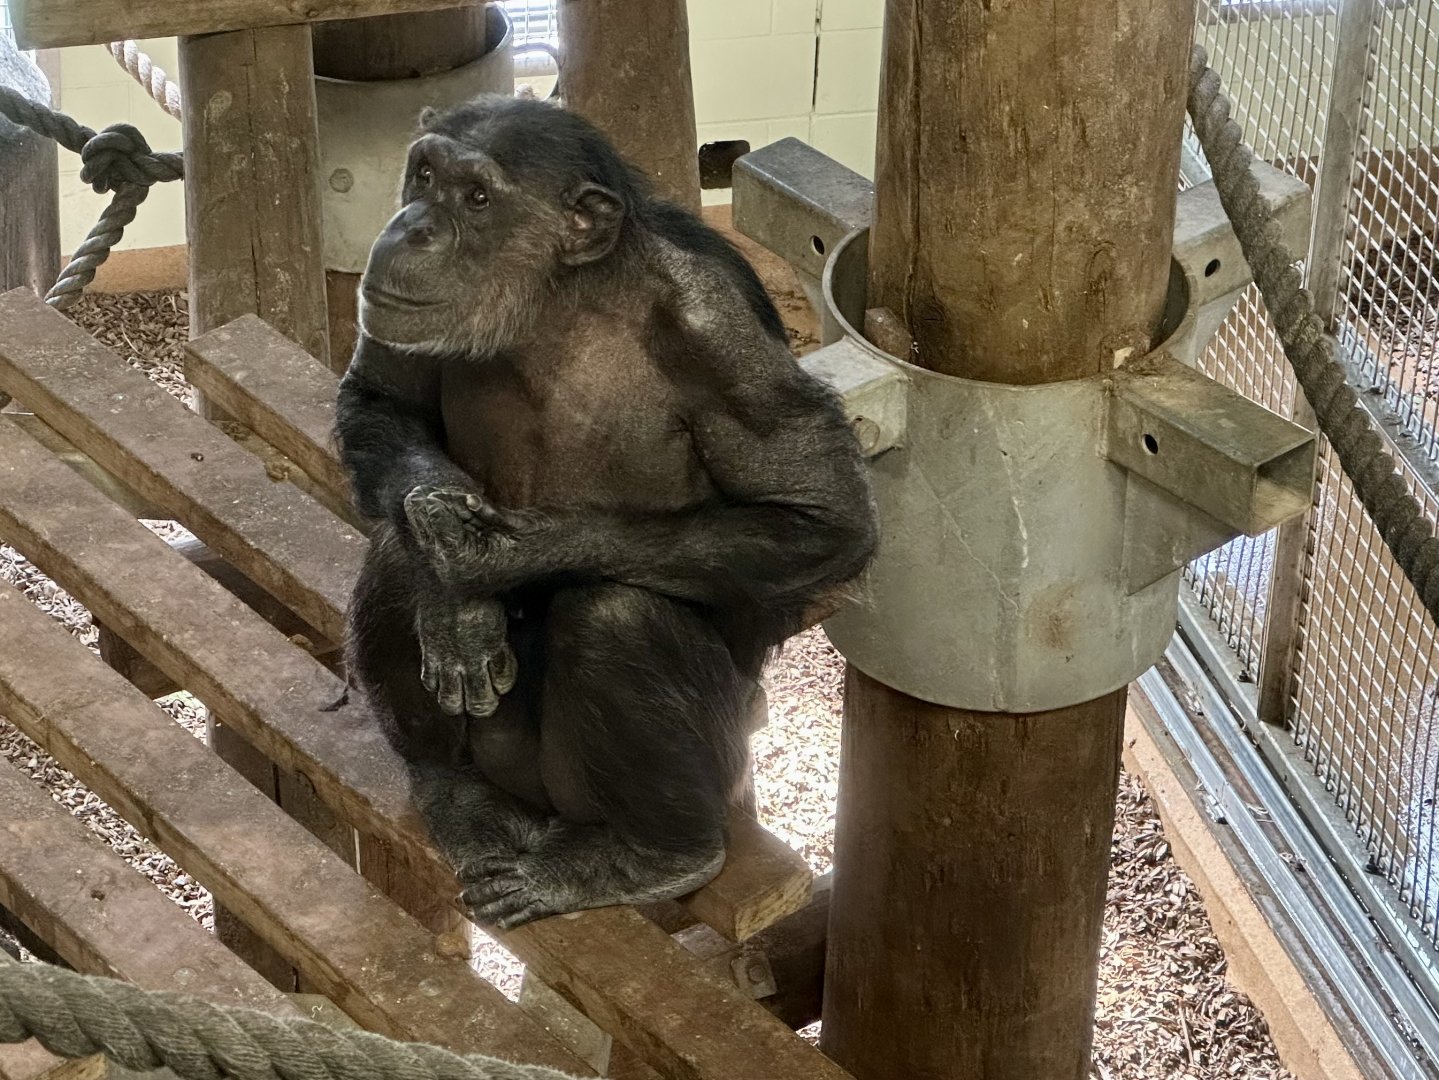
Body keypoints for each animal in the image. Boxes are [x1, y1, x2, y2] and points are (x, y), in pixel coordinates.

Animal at [336, 93, 877, 929]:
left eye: (477, 197)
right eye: (424, 175)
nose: (413, 224)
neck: (562, 301)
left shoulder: (721, 337)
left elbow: (823, 516)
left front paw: (498, 560)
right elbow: (382, 401)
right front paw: (454, 599)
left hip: (701, 773)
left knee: (615, 614)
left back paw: (652, 856)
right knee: (396, 554)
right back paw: (458, 791)